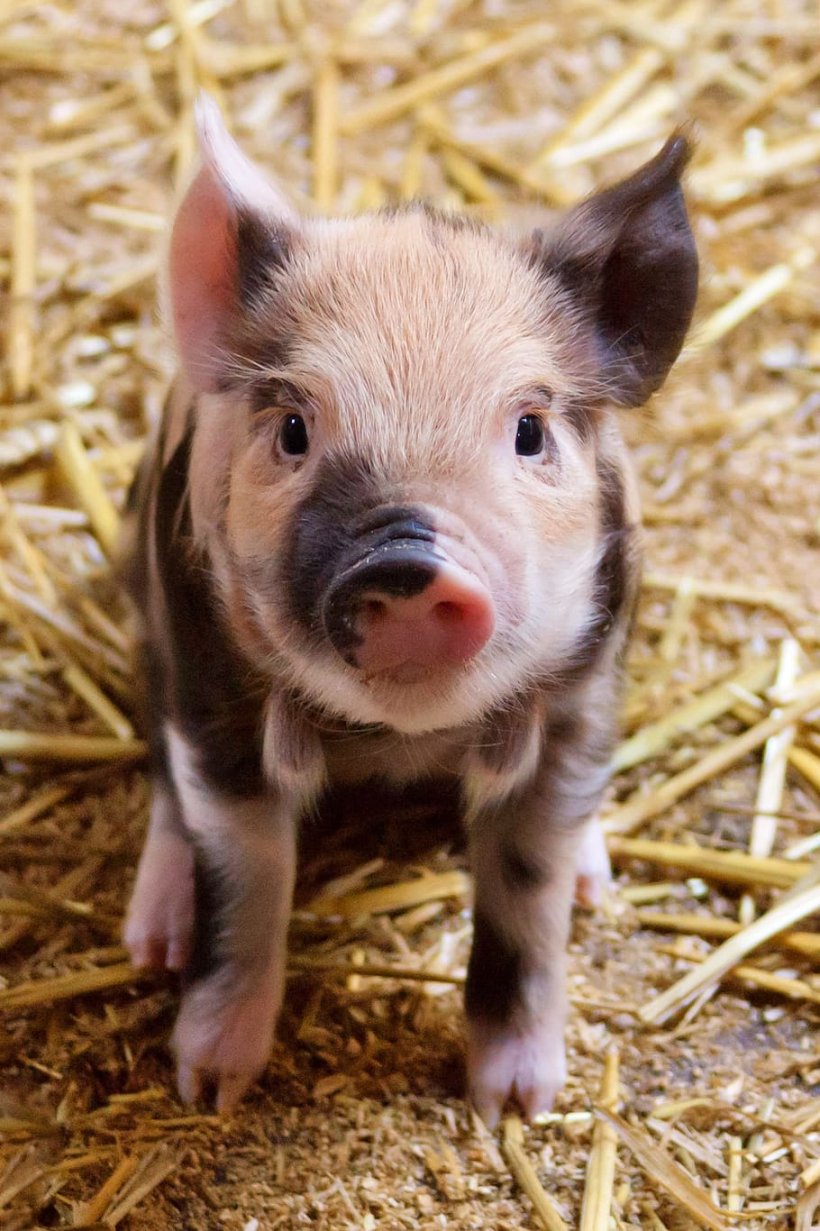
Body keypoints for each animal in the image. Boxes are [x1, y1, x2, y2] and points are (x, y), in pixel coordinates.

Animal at [122, 95, 697, 1123]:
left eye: (530, 431)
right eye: (294, 429)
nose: (405, 561)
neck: (399, 740)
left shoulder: (583, 695)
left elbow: (529, 891)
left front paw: (517, 1105)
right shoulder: (209, 685)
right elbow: (246, 876)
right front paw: (210, 1087)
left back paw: (599, 887)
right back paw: (152, 941)